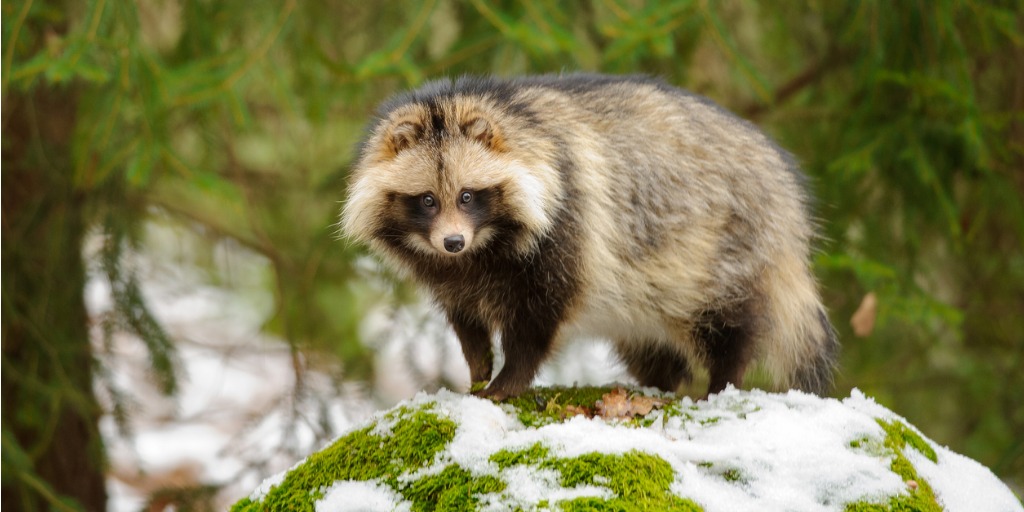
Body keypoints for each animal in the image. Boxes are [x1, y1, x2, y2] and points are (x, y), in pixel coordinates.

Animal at [344, 73, 839, 399]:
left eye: (467, 196)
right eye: (428, 200)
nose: (452, 242)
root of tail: (786, 190)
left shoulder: (568, 223)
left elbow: (539, 317)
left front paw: (508, 379)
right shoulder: (448, 272)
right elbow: (465, 316)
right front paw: (479, 364)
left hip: (725, 248)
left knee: (730, 325)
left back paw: (722, 381)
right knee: (652, 346)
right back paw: (660, 383)